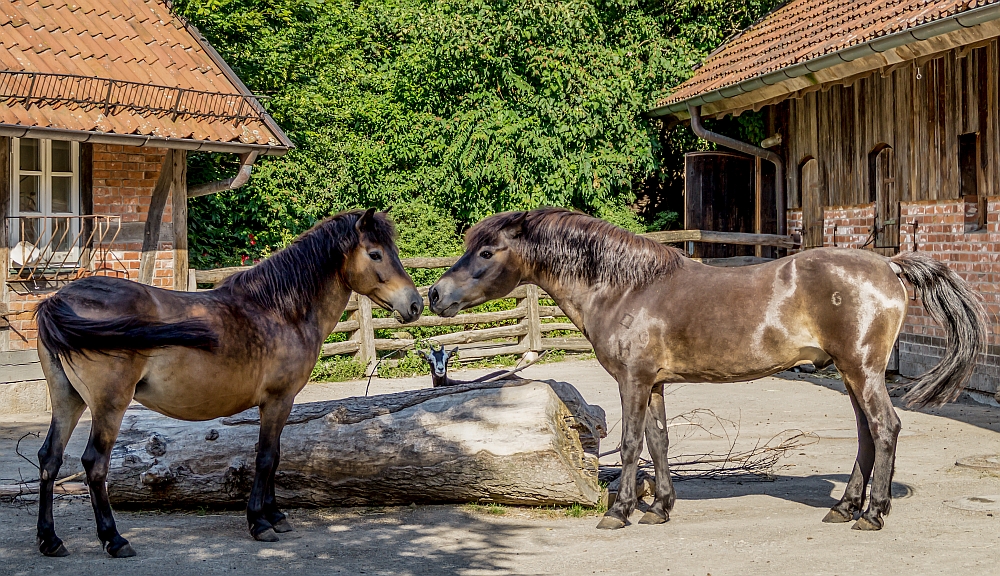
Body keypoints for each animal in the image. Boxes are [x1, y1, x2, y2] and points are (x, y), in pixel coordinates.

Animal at [32, 209, 422, 556]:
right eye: (375, 253)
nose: (416, 304)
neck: (279, 310)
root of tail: (59, 299)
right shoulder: (278, 400)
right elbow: (266, 457)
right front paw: (260, 522)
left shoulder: (278, 404)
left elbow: (275, 456)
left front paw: (275, 515)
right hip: (108, 406)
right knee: (94, 465)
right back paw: (114, 540)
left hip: (67, 400)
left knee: (50, 458)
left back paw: (50, 540)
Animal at [434, 207, 988, 532]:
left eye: (486, 250)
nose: (436, 295)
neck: (626, 287)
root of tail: (888, 265)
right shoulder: (653, 383)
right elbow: (659, 442)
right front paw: (659, 508)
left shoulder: (633, 381)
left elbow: (632, 443)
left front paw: (619, 512)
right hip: (852, 375)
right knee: (867, 436)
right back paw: (845, 507)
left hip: (863, 371)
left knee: (885, 428)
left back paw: (872, 514)